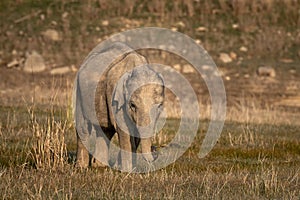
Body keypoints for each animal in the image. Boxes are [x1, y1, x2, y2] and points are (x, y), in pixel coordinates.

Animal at [74, 42, 165, 170]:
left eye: (160, 105)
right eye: (132, 105)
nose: (154, 149)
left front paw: (126, 168)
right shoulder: (115, 97)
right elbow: (124, 130)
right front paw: (127, 170)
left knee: (105, 130)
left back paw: (99, 166)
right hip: (79, 92)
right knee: (83, 127)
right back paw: (81, 167)